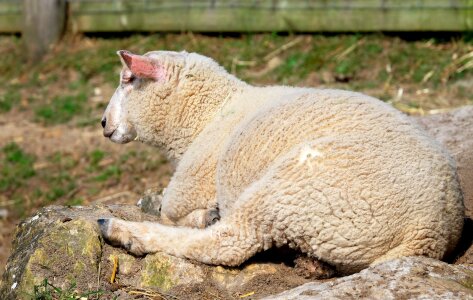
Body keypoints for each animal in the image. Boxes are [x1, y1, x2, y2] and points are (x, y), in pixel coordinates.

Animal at [97, 49, 462, 274]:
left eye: (128, 80)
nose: (103, 123)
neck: (210, 113)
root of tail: (428, 233)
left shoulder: (193, 181)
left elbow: (170, 209)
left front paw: (157, 204)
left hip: (298, 189)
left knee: (228, 243)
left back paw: (119, 230)